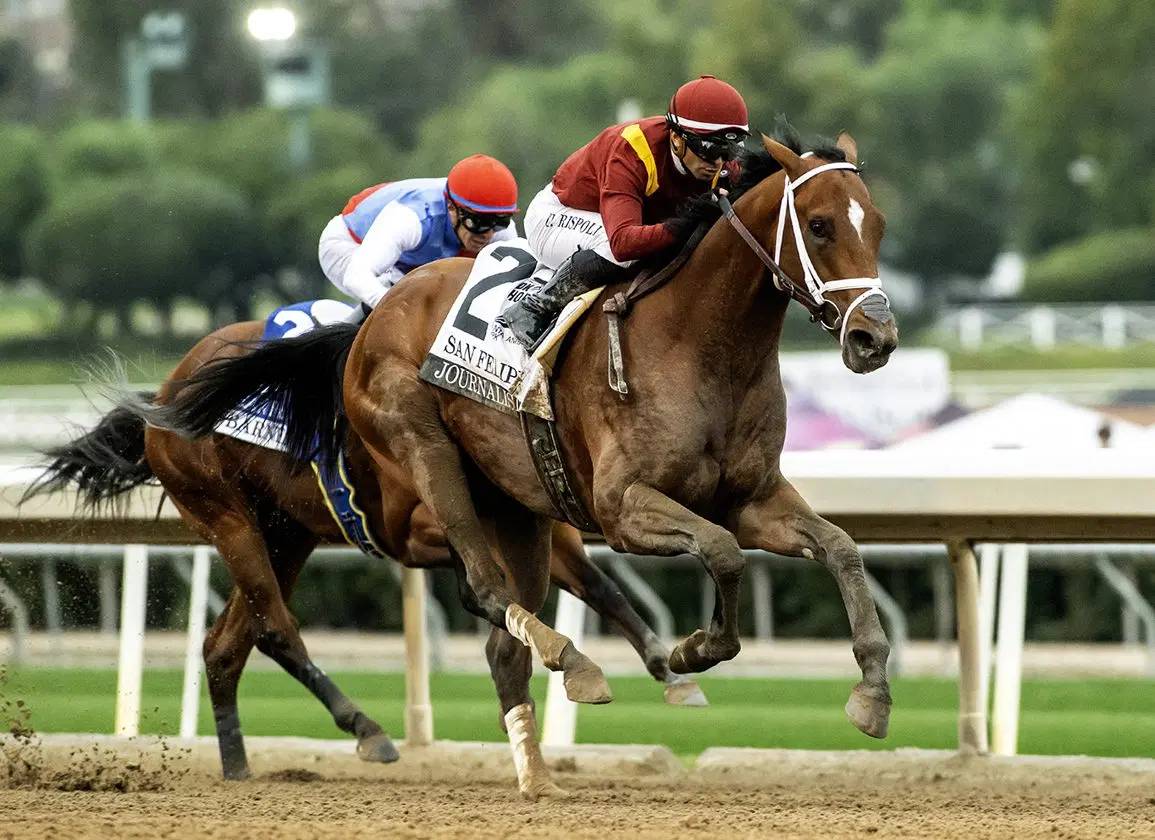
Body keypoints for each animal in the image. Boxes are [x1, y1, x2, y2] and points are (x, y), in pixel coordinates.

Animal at [27, 319, 705, 783]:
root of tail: (168, 392)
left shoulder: (535, 525)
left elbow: (598, 584)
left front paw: (669, 668)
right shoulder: (419, 523)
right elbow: (491, 582)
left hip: (288, 533)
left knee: (226, 645)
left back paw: (239, 766)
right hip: (226, 517)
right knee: (275, 628)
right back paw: (367, 730)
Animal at [132, 129, 899, 799]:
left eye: (879, 226)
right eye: (820, 225)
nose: (875, 337)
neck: (700, 345)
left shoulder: (752, 499)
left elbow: (839, 549)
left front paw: (870, 692)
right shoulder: (623, 508)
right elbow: (721, 553)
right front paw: (693, 651)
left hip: (409, 518)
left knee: (247, 643)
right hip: (335, 486)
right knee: (449, 598)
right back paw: (527, 678)